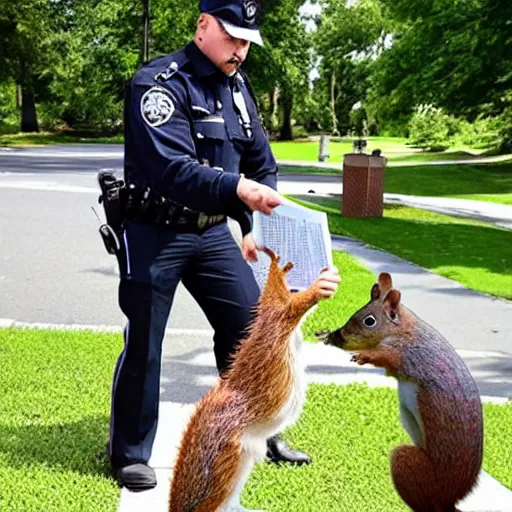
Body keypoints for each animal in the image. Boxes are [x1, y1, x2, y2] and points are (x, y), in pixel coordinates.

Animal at [168, 246, 340, 510]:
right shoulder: (282, 316)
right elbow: (300, 302)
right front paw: (316, 285)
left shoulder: (275, 308)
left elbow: (280, 292)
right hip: (228, 463)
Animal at [316, 274, 484, 512]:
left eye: (369, 321)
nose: (341, 335)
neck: (402, 329)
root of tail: (449, 499)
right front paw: (328, 335)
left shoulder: (404, 353)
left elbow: (384, 357)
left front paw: (363, 355)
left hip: (411, 466)